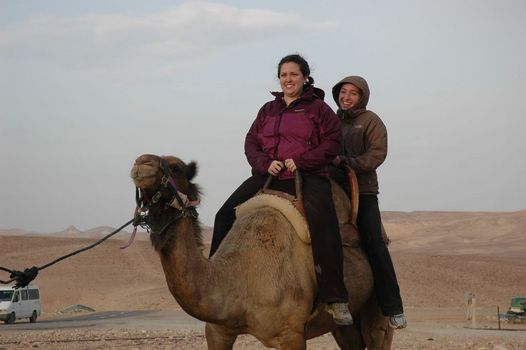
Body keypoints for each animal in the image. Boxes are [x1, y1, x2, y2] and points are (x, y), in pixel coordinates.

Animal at [130, 154, 394, 348]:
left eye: (175, 167)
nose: (141, 162)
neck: (238, 277)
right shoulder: (216, 330)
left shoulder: (291, 335)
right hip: (342, 324)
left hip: (375, 308)